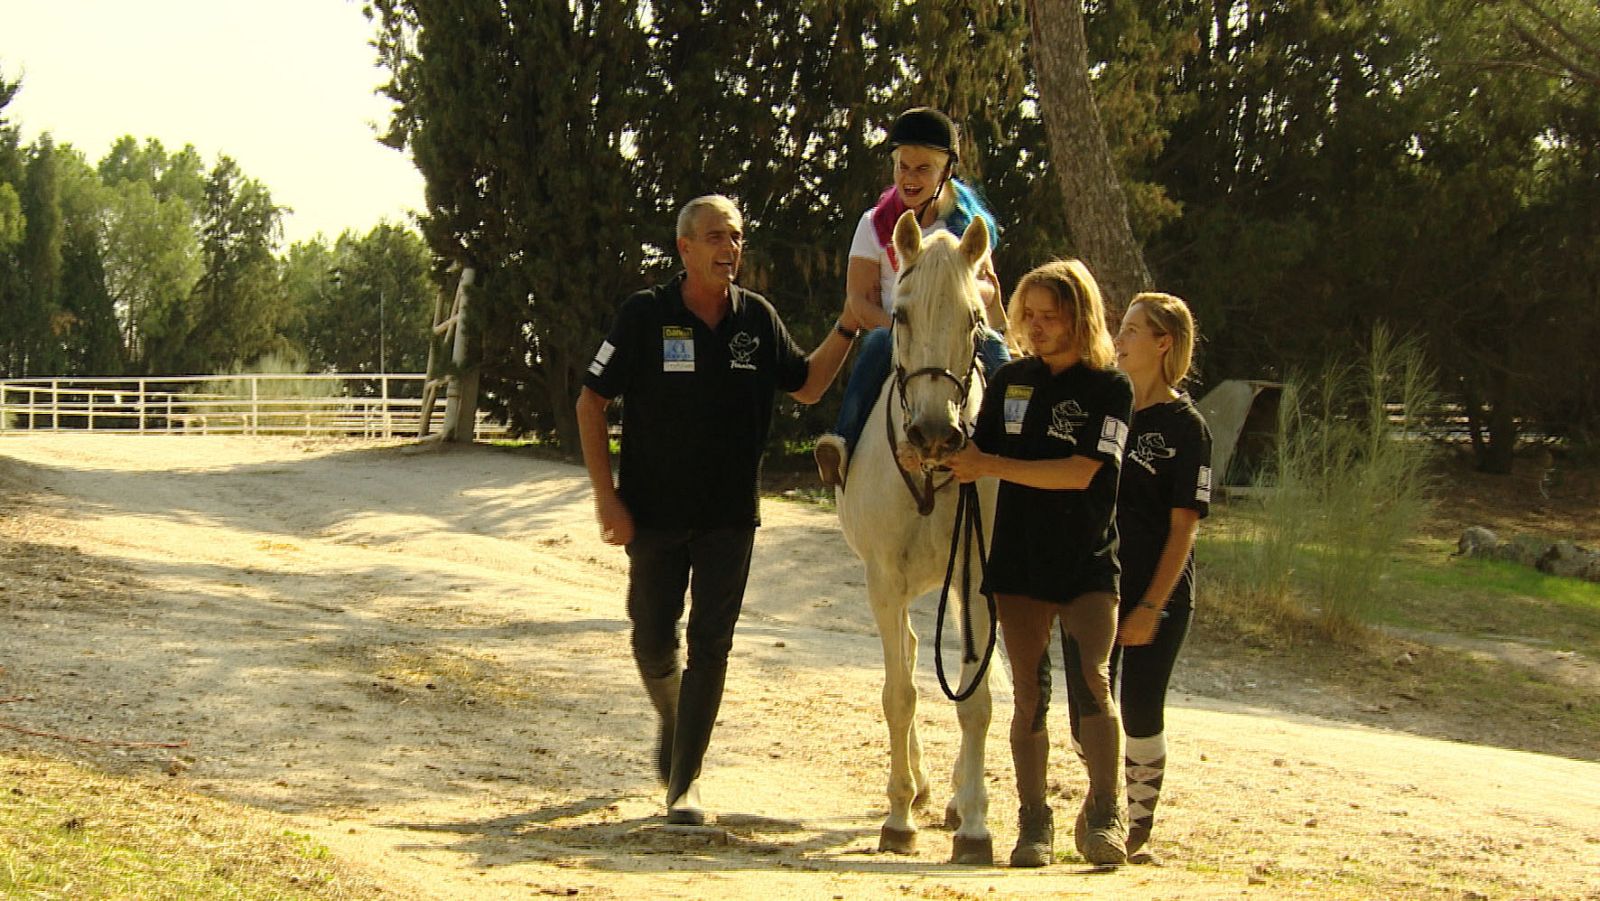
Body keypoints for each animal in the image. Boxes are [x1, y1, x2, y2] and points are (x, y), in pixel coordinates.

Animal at [834, 210, 1000, 864]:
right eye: (899, 314)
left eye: (976, 319)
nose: (933, 431)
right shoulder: (884, 580)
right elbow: (899, 695)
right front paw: (899, 816)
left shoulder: (977, 584)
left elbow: (976, 700)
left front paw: (974, 823)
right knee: (903, 653)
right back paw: (922, 786)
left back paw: (950, 796)